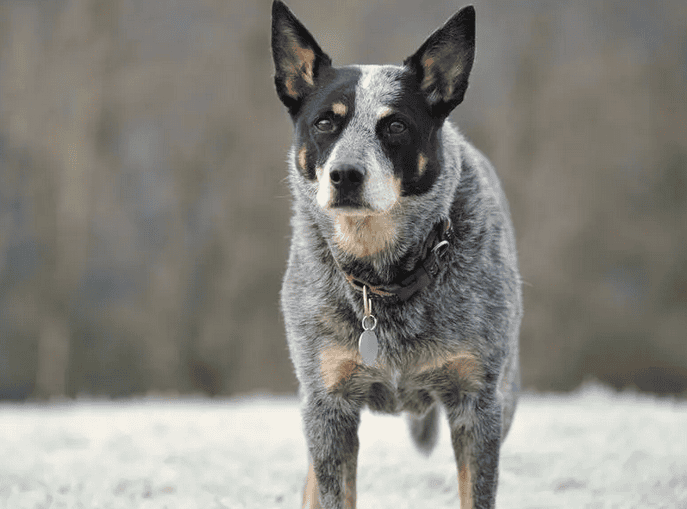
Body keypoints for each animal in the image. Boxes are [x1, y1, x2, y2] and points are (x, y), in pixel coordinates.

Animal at [272, 1, 524, 506]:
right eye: (325, 121)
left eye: (395, 126)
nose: (345, 174)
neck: (381, 278)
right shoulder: (327, 403)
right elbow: (332, 487)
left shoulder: (477, 404)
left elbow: (476, 489)